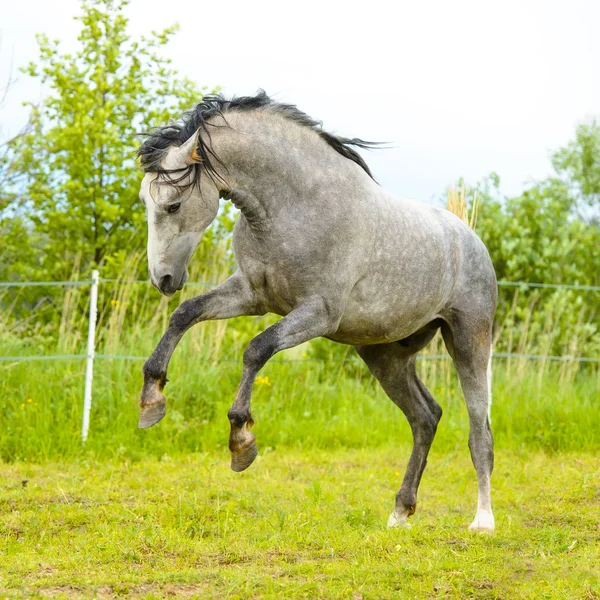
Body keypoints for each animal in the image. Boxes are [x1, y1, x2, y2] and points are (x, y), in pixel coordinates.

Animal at [136, 91, 496, 532]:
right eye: (145, 200)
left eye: (173, 205)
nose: (163, 278)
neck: (294, 207)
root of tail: (471, 240)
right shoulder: (251, 296)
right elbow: (185, 314)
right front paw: (151, 400)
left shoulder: (318, 314)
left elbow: (257, 348)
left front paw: (241, 440)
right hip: (384, 354)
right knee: (426, 417)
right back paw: (399, 512)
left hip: (469, 341)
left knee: (479, 432)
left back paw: (483, 521)